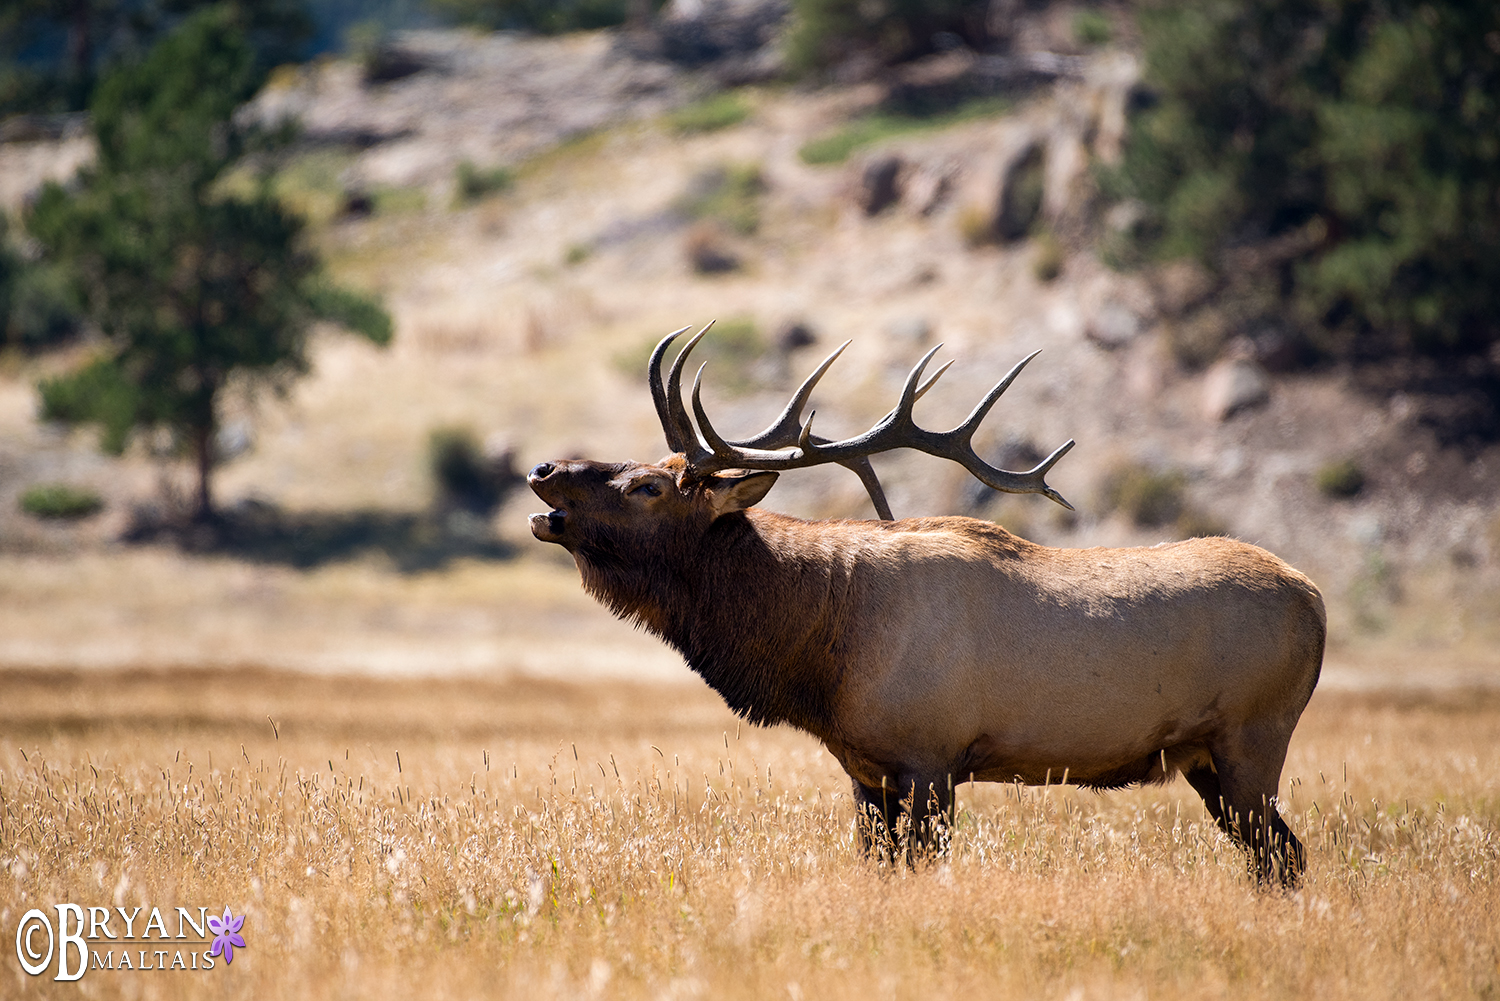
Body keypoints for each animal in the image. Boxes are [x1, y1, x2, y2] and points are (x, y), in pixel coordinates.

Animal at [531, 321, 1326, 882]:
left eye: (646, 486)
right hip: (1203, 757)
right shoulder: (866, 771)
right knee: (1277, 856)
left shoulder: (930, 758)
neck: (820, 649)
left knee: (1282, 855)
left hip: (1254, 733)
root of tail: (1315, 598)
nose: (542, 469)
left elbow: (921, 867)